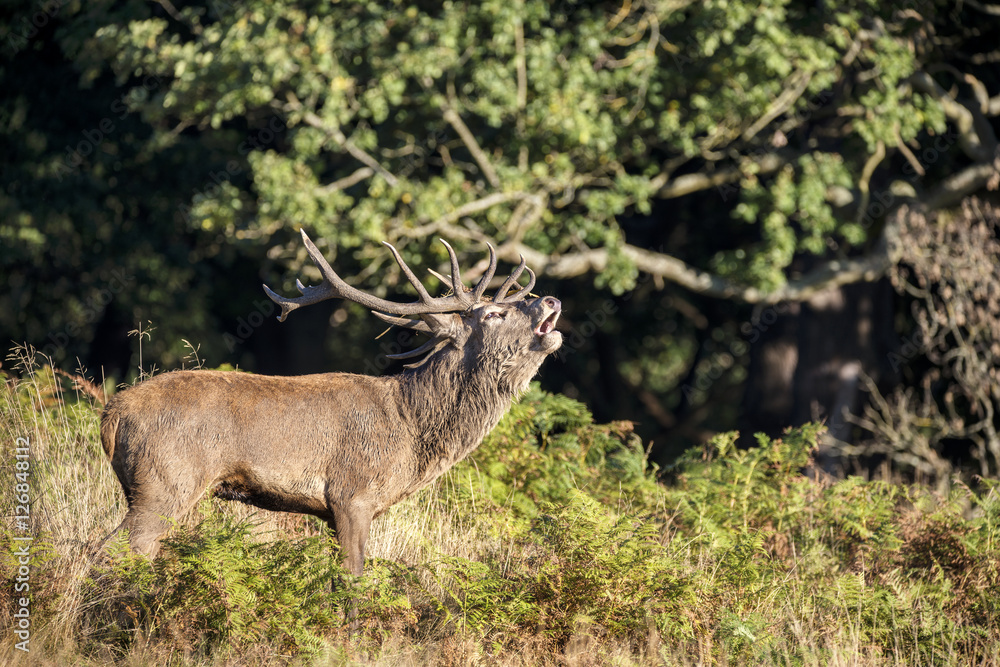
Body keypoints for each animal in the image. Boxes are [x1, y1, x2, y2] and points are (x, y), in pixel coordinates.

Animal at [99, 230, 563, 578]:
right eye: (493, 315)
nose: (551, 299)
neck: (411, 434)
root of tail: (112, 414)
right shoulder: (352, 494)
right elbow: (354, 579)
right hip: (165, 482)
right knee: (114, 550)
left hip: (142, 486)